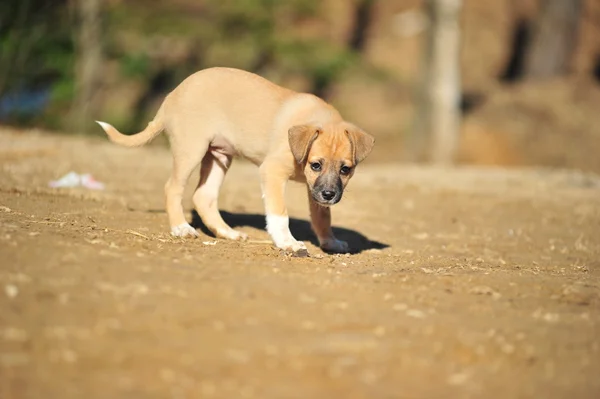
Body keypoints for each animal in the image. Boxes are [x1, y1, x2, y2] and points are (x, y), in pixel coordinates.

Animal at [96, 65, 372, 253]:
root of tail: (172, 94)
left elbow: (322, 217)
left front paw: (330, 242)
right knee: (172, 188)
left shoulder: (314, 189)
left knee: (203, 196)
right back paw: (181, 228)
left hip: (219, 156)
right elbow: (279, 213)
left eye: (345, 169)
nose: (329, 195)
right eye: (316, 164)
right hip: (191, 149)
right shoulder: (271, 172)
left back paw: (227, 233)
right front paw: (287, 242)